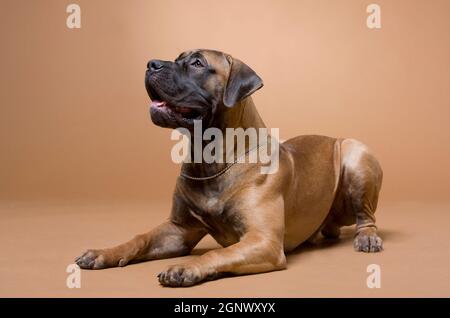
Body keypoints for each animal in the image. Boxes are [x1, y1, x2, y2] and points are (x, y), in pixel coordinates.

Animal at [74, 48, 384, 286]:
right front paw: (105, 252)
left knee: (366, 216)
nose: (151, 64)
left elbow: (214, 254)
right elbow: (140, 238)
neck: (209, 159)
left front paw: (186, 267)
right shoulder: (178, 230)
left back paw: (367, 238)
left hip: (356, 155)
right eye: (177, 58)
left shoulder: (263, 241)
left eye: (198, 64)